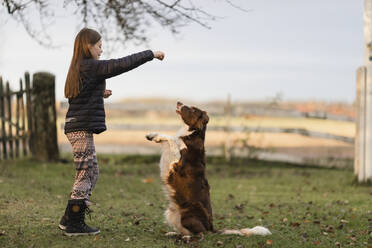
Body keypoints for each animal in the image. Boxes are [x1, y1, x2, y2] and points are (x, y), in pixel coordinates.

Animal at [145, 101, 270, 237]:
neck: (190, 133)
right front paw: (153, 135)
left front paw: (158, 136)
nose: (179, 102)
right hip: (170, 213)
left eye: (193, 109)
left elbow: (172, 139)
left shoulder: (176, 163)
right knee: (185, 231)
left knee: (199, 233)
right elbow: (169, 138)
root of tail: (211, 228)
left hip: (190, 212)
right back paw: (173, 234)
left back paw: (187, 237)